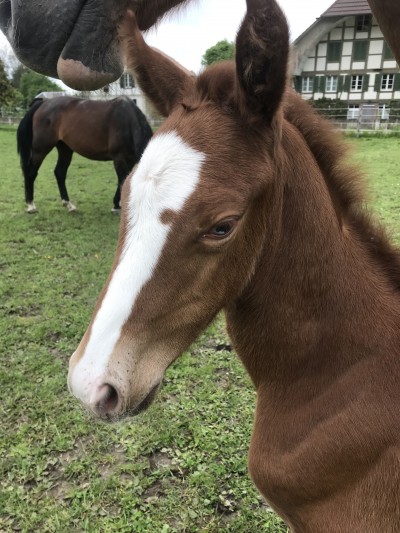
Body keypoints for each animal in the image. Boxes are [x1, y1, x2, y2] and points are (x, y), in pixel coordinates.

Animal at [17, 96, 153, 213]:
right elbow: (122, 180)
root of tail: (44, 102)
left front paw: (116, 205)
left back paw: (68, 204)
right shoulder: (119, 158)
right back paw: (31, 205)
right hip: (40, 150)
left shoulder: (130, 160)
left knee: (60, 173)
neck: (128, 121)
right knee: (31, 173)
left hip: (65, 149)